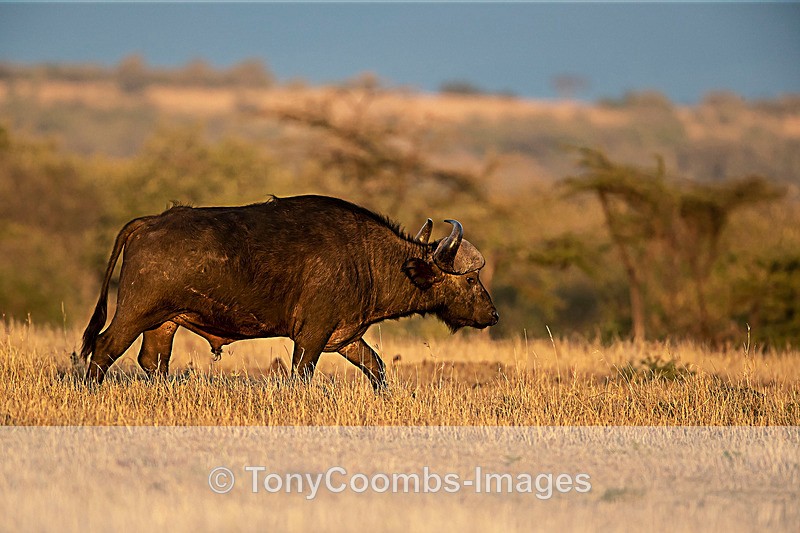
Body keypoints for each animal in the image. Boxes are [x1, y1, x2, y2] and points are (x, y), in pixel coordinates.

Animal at [80, 195, 498, 389]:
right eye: (471, 279)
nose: (493, 315)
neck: (366, 258)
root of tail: (150, 222)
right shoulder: (312, 336)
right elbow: (301, 375)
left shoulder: (346, 338)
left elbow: (377, 368)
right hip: (134, 313)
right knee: (103, 348)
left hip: (164, 323)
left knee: (153, 362)